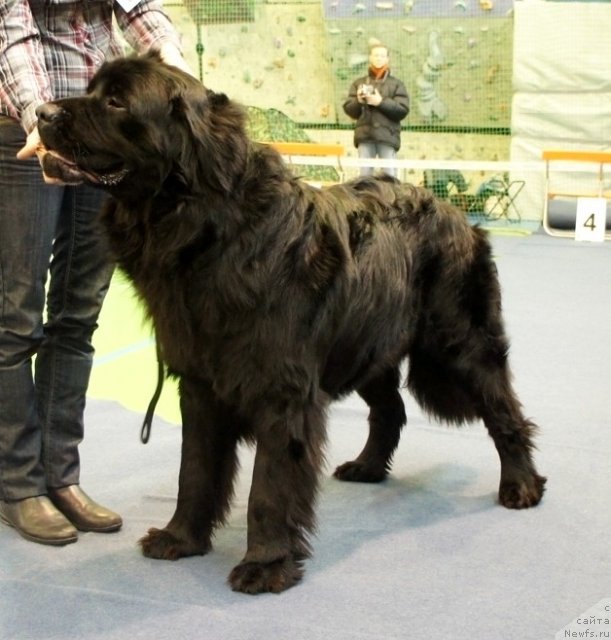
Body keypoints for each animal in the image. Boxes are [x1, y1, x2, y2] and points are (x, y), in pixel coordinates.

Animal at [37, 53, 544, 596]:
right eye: (93, 89)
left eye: (116, 101)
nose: (41, 112)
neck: (209, 234)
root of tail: (458, 216)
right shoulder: (200, 381)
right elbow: (194, 470)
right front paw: (181, 537)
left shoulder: (283, 389)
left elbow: (270, 484)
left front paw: (266, 563)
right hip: (365, 346)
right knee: (390, 410)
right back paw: (368, 467)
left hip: (460, 342)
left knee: (504, 411)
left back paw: (521, 485)